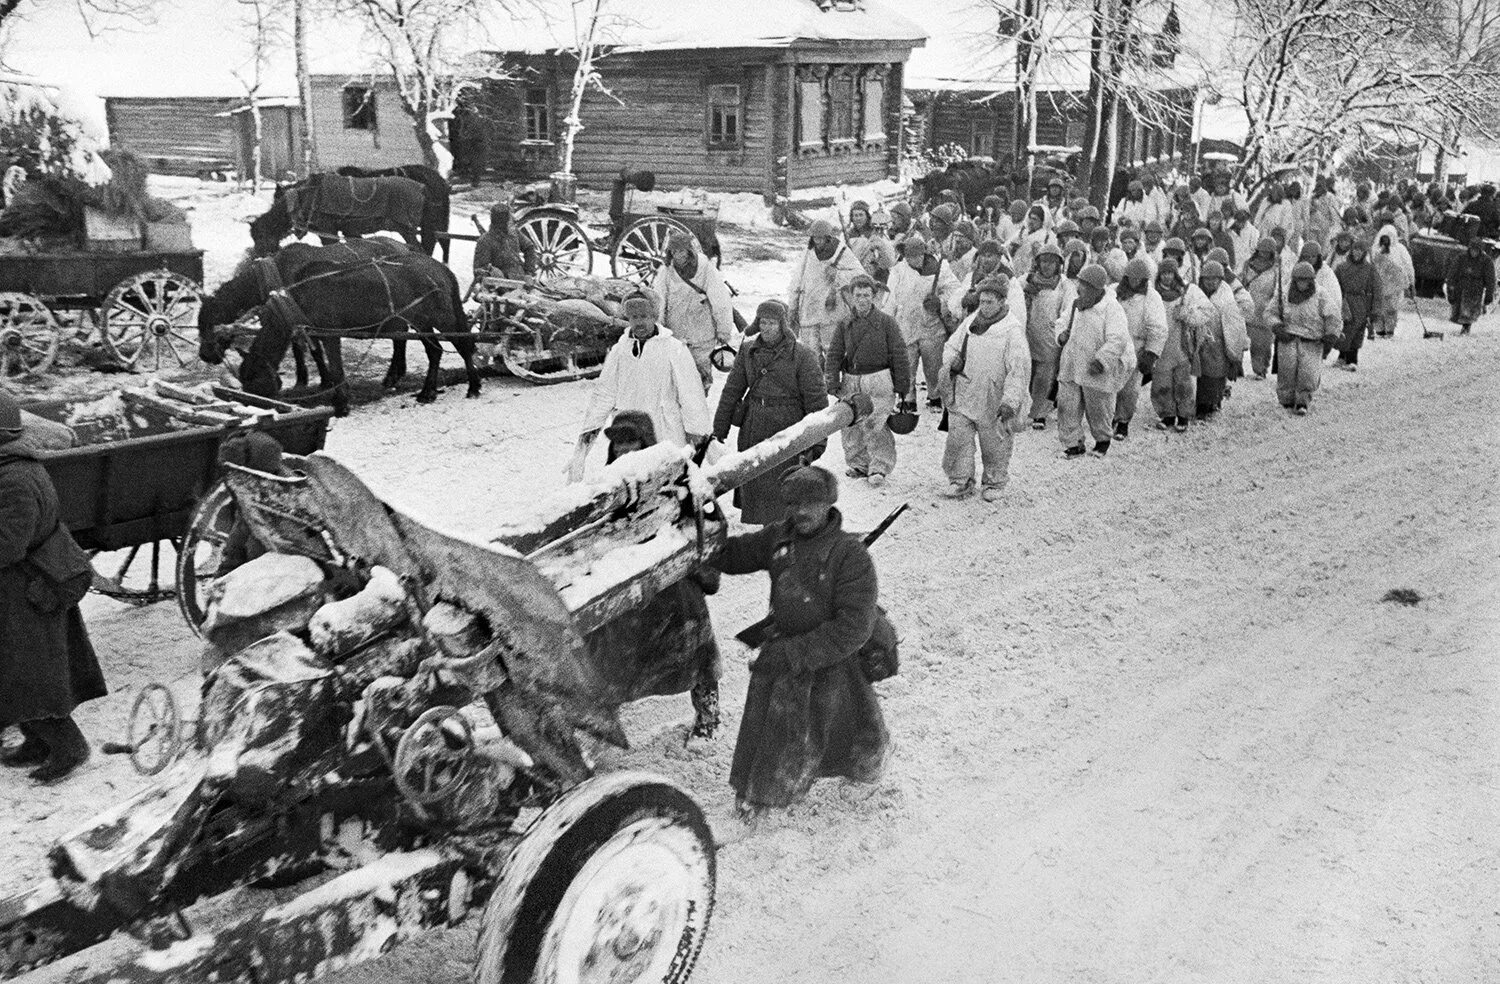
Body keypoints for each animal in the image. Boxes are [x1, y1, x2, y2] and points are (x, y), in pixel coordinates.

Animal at [201, 244, 480, 420]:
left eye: (253, 381)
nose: (205, 355)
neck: (297, 298)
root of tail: (442, 269)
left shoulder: (329, 333)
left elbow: (335, 369)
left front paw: (341, 405)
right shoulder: (313, 332)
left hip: (443, 317)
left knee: (464, 346)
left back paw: (474, 387)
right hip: (420, 321)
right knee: (435, 352)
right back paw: (426, 392)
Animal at [249, 173, 429, 258]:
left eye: (260, 235)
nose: (256, 256)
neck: (306, 197)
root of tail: (422, 188)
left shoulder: (328, 230)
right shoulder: (348, 231)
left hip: (406, 230)